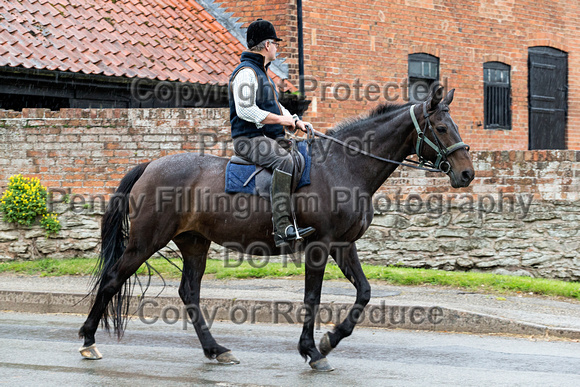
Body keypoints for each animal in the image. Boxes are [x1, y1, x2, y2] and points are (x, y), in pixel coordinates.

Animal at [78, 88, 476, 372]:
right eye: (442, 128)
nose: (467, 173)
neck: (343, 166)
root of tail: (150, 165)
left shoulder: (344, 245)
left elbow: (363, 293)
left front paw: (330, 340)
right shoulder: (319, 246)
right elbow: (312, 298)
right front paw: (313, 351)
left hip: (194, 243)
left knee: (189, 292)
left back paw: (216, 350)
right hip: (146, 241)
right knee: (112, 279)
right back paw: (87, 341)